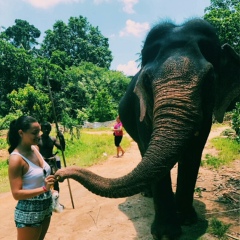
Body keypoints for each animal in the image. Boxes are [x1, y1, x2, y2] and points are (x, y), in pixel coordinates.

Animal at [54, 19, 240, 240]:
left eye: (210, 79)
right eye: (146, 80)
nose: (58, 175)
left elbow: (193, 153)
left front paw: (188, 220)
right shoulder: (140, 108)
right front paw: (166, 234)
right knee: (144, 150)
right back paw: (148, 194)